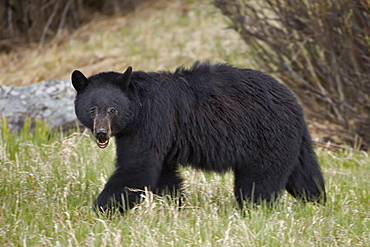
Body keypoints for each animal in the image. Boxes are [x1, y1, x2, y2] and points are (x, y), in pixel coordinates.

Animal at [71, 61, 326, 212]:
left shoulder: (152, 122)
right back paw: (317, 202)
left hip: (265, 136)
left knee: (259, 181)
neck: (138, 106)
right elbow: (163, 174)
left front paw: (99, 210)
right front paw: (176, 205)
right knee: (304, 175)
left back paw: (254, 210)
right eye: (92, 109)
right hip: (292, 140)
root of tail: (295, 102)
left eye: (113, 110)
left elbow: (136, 168)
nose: (101, 133)